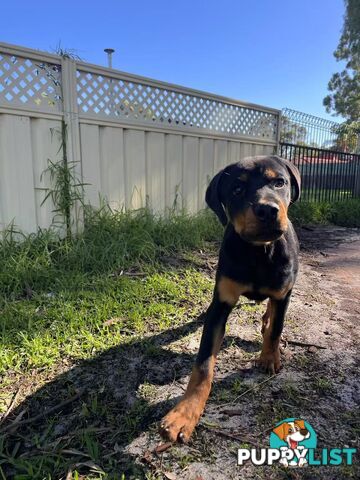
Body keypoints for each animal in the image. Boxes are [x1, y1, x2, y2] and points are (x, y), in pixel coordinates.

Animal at [160, 155, 300, 442]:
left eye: (279, 182)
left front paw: (269, 357)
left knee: (271, 313)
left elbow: (277, 328)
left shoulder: (284, 293)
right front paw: (185, 413)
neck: (258, 252)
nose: (267, 210)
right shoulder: (221, 304)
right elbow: (203, 365)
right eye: (237, 189)